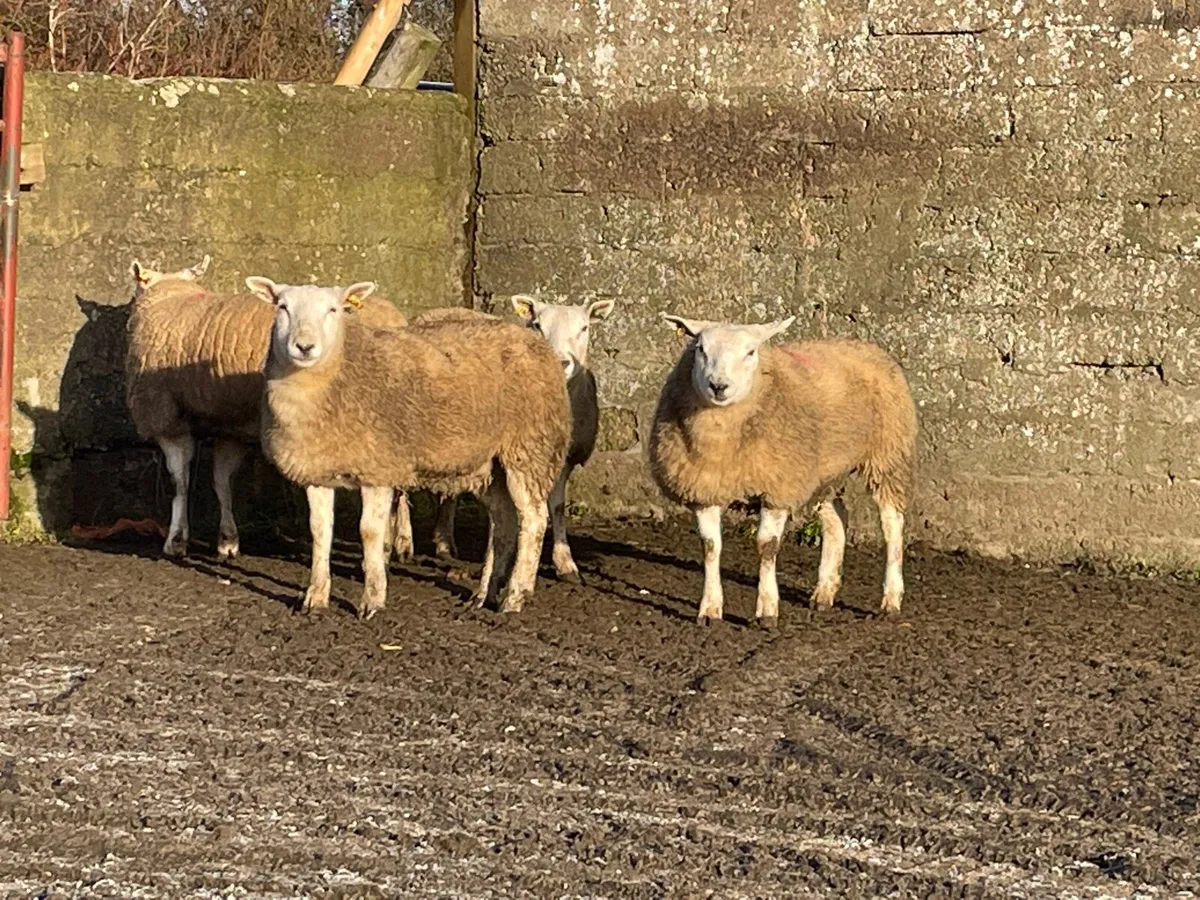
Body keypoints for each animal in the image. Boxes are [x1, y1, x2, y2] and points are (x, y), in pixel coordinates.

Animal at [125, 256, 409, 559]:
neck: (171, 295)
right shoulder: (232, 424)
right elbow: (222, 480)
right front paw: (227, 540)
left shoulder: (166, 416)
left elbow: (180, 481)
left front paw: (176, 539)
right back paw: (400, 543)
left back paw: (388, 546)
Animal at [248, 277, 571, 619]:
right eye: (283, 307)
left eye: (333, 309)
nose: (304, 347)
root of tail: (536, 341)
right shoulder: (317, 470)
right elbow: (320, 531)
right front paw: (315, 598)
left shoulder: (379, 467)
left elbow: (370, 532)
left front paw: (372, 600)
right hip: (489, 463)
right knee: (504, 522)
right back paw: (484, 594)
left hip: (530, 446)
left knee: (534, 520)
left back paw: (515, 596)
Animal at [420, 295, 616, 581]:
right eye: (537, 325)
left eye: (584, 327)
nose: (560, 362)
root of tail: (447, 309)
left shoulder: (563, 459)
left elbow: (557, 506)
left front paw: (565, 563)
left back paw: (444, 542)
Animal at [648, 314, 917, 627]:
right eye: (700, 349)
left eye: (751, 352)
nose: (718, 386)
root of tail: (860, 343)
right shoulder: (705, 488)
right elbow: (710, 546)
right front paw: (710, 610)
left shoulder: (777, 485)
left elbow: (767, 546)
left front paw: (766, 611)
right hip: (820, 472)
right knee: (838, 517)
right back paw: (824, 592)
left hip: (888, 454)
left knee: (891, 526)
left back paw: (891, 600)